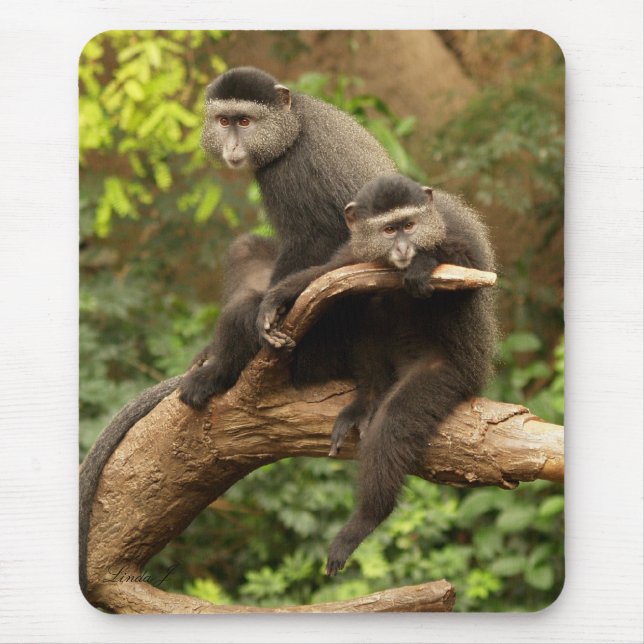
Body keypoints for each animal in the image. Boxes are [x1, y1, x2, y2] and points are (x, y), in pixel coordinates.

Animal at [179, 66, 396, 409]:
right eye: (224, 121)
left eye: (244, 122)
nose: (232, 147)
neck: (293, 126)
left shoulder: (290, 171)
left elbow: (317, 238)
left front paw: (269, 311)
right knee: (244, 248)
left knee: (245, 307)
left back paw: (218, 373)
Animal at [256, 174, 498, 576]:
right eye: (388, 230)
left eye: (409, 226)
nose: (402, 248)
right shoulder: (357, 250)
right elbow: (331, 273)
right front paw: (277, 298)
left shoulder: (453, 231)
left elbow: (470, 274)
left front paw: (423, 263)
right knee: (364, 304)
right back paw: (367, 400)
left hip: (451, 374)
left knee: (395, 422)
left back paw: (366, 519)